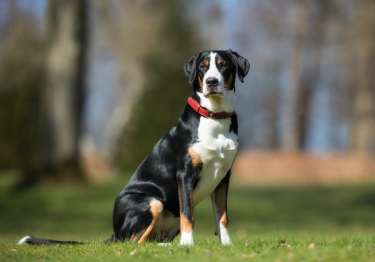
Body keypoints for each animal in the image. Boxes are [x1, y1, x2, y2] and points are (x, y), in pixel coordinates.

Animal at [19, 49, 251, 246]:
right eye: (203, 66)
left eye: (223, 65)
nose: (211, 82)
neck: (214, 118)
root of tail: (115, 232)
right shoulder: (185, 174)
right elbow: (188, 215)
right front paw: (187, 246)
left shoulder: (223, 176)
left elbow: (222, 216)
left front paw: (227, 245)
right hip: (151, 202)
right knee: (134, 243)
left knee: (148, 241)